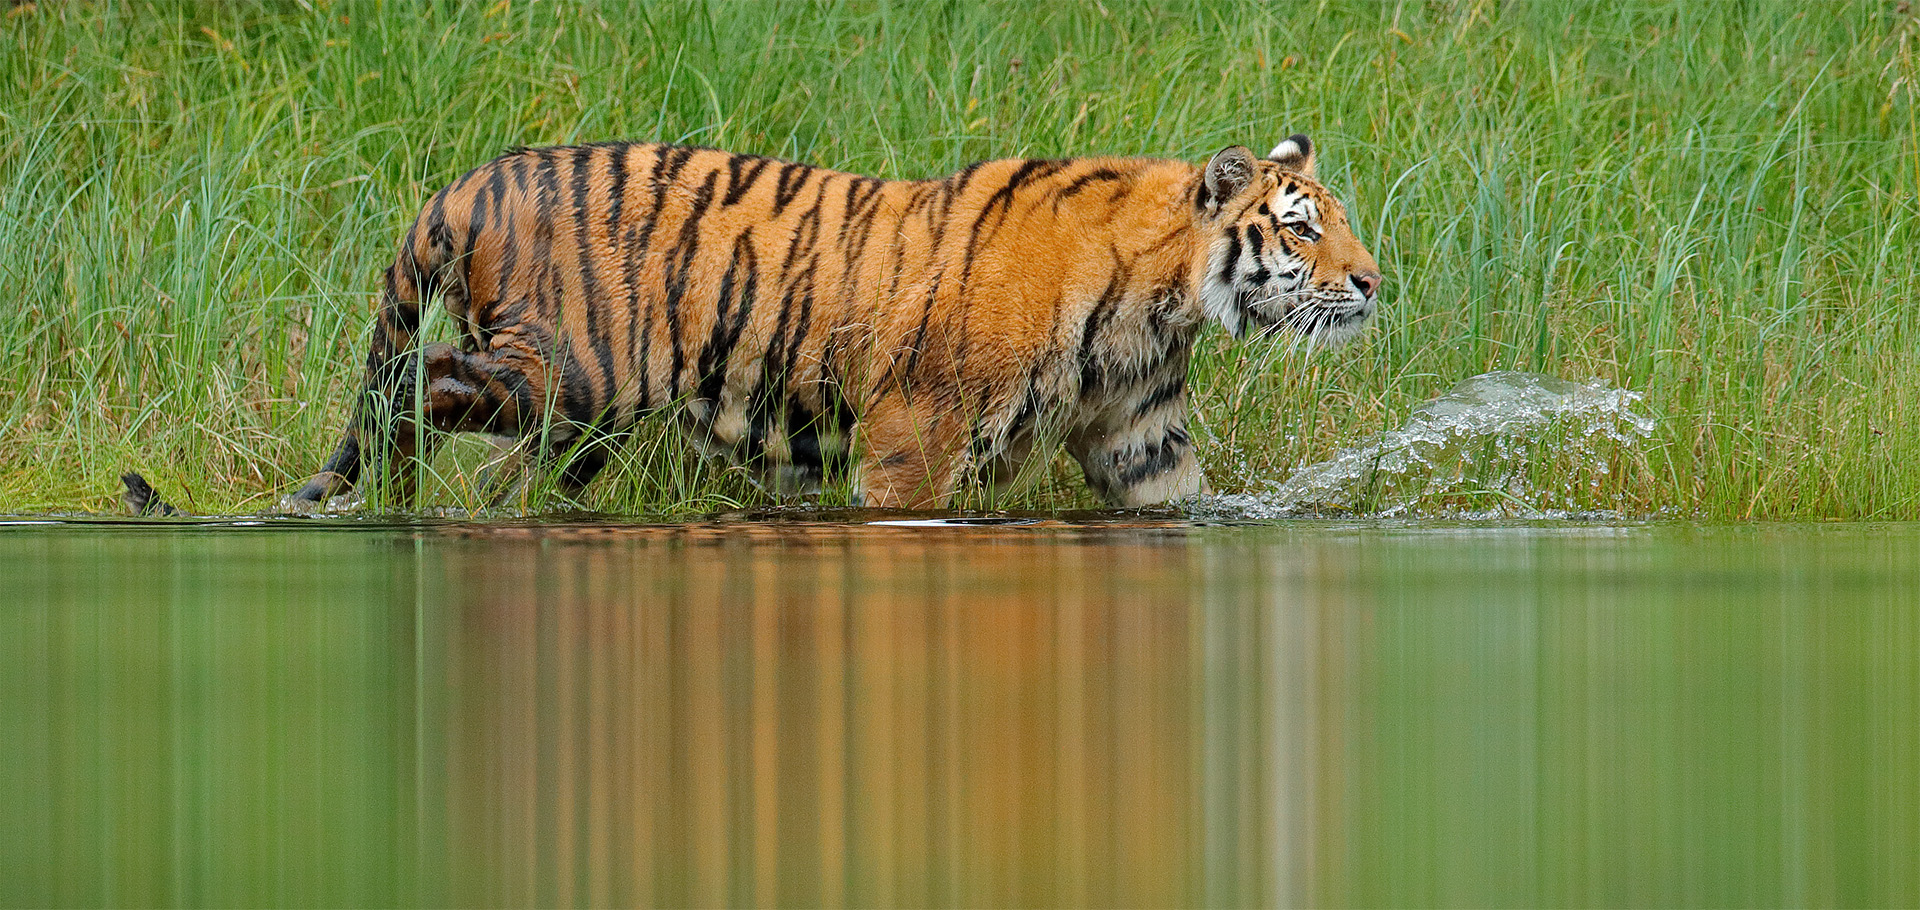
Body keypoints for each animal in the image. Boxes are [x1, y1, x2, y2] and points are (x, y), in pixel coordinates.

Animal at [270, 134, 1380, 511]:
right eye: (1303, 227)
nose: (1374, 282)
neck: (1159, 303)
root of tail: (465, 185)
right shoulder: (915, 432)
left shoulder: (1140, 438)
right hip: (573, 372)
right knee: (418, 380)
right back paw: (399, 499)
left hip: (580, 422)